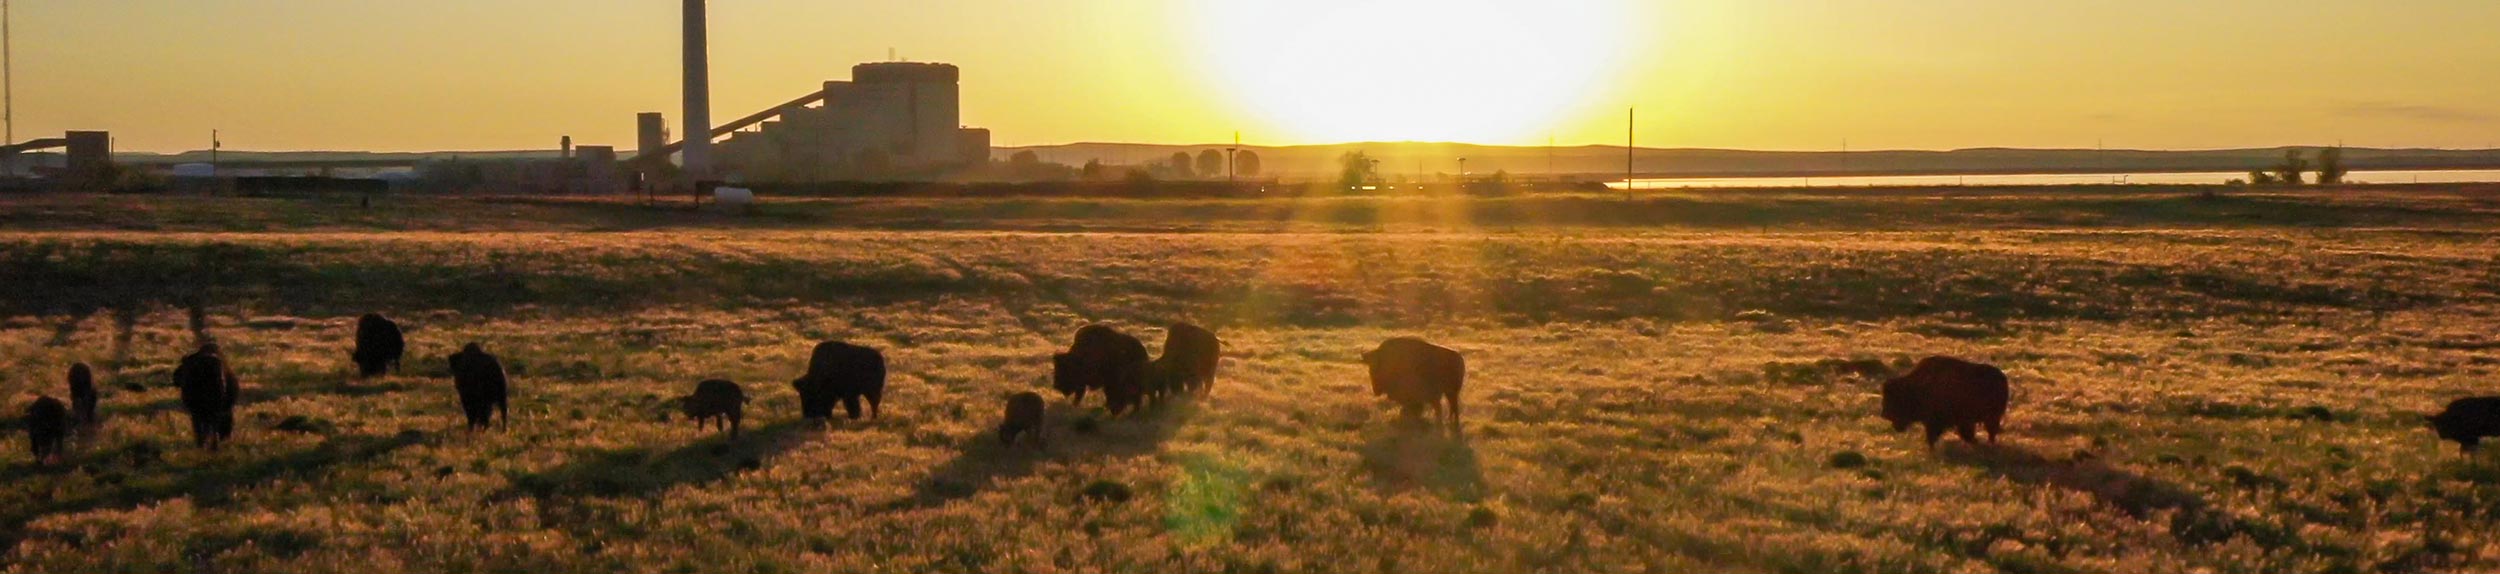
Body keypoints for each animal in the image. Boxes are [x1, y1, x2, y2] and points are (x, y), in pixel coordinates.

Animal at [1880, 356, 2010, 451]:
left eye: (1894, 399)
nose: (1884, 414)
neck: (1917, 387)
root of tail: (2002, 377)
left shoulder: (1936, 422)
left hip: (1992, 417)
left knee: (1991, 432)